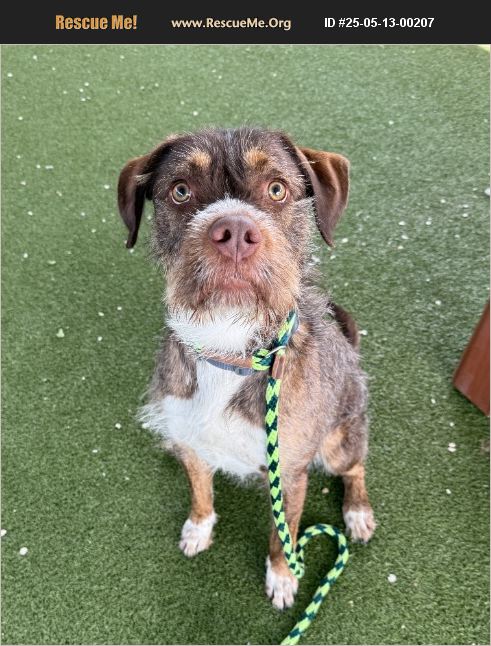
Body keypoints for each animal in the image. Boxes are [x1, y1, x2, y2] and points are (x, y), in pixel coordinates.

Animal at [117, 127, 375, 610]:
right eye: (181, 191)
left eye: (277, 189)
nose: (235, 230)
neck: (229, 345)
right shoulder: (193, 442)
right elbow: (201, 493)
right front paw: (198, 529)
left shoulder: (289, 473)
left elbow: (283, 534)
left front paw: (283, 577)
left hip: (340, 441)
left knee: (356, 468)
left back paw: (357, 512)